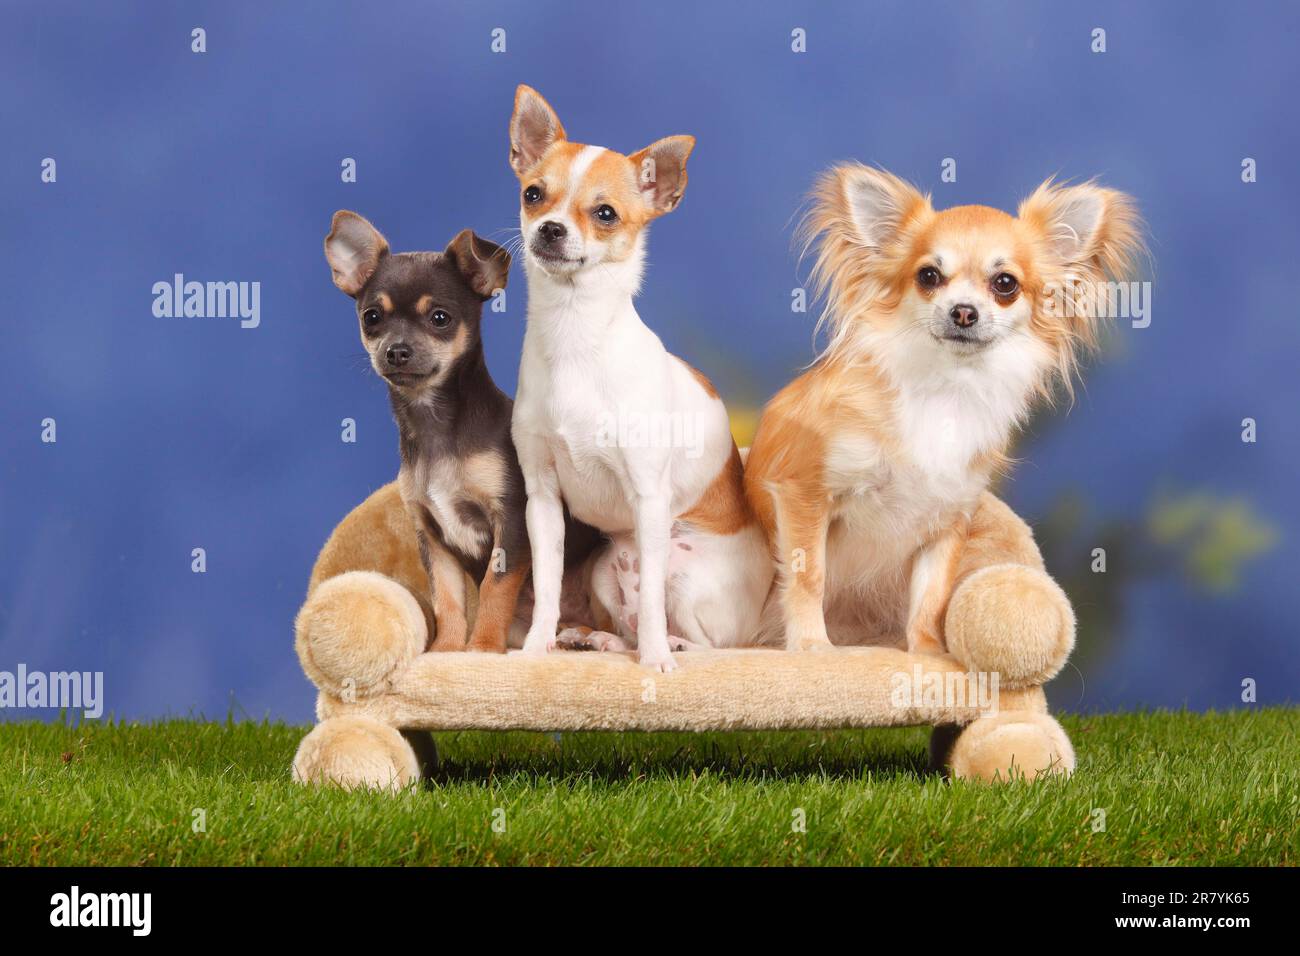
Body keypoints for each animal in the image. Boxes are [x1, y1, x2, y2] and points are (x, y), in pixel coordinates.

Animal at [330, 213, 603, 655]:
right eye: (372, 318)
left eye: (440, 317)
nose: (396, 351)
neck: (434, 424)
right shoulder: (432, 537)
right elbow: (447, 599)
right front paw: (446, 651)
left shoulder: (510, 521)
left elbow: (494, 588)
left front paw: (483, 648)